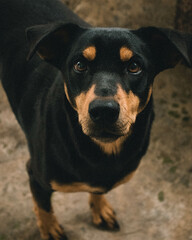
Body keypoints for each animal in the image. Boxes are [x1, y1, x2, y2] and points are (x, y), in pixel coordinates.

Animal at [0, 0, 192, 239]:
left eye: (134, 66)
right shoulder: (36, 177)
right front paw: (50, 229)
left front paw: (100, 209)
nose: (103, 111)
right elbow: (44, 208)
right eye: (79, 65)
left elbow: (98, 191)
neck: (104, 153)